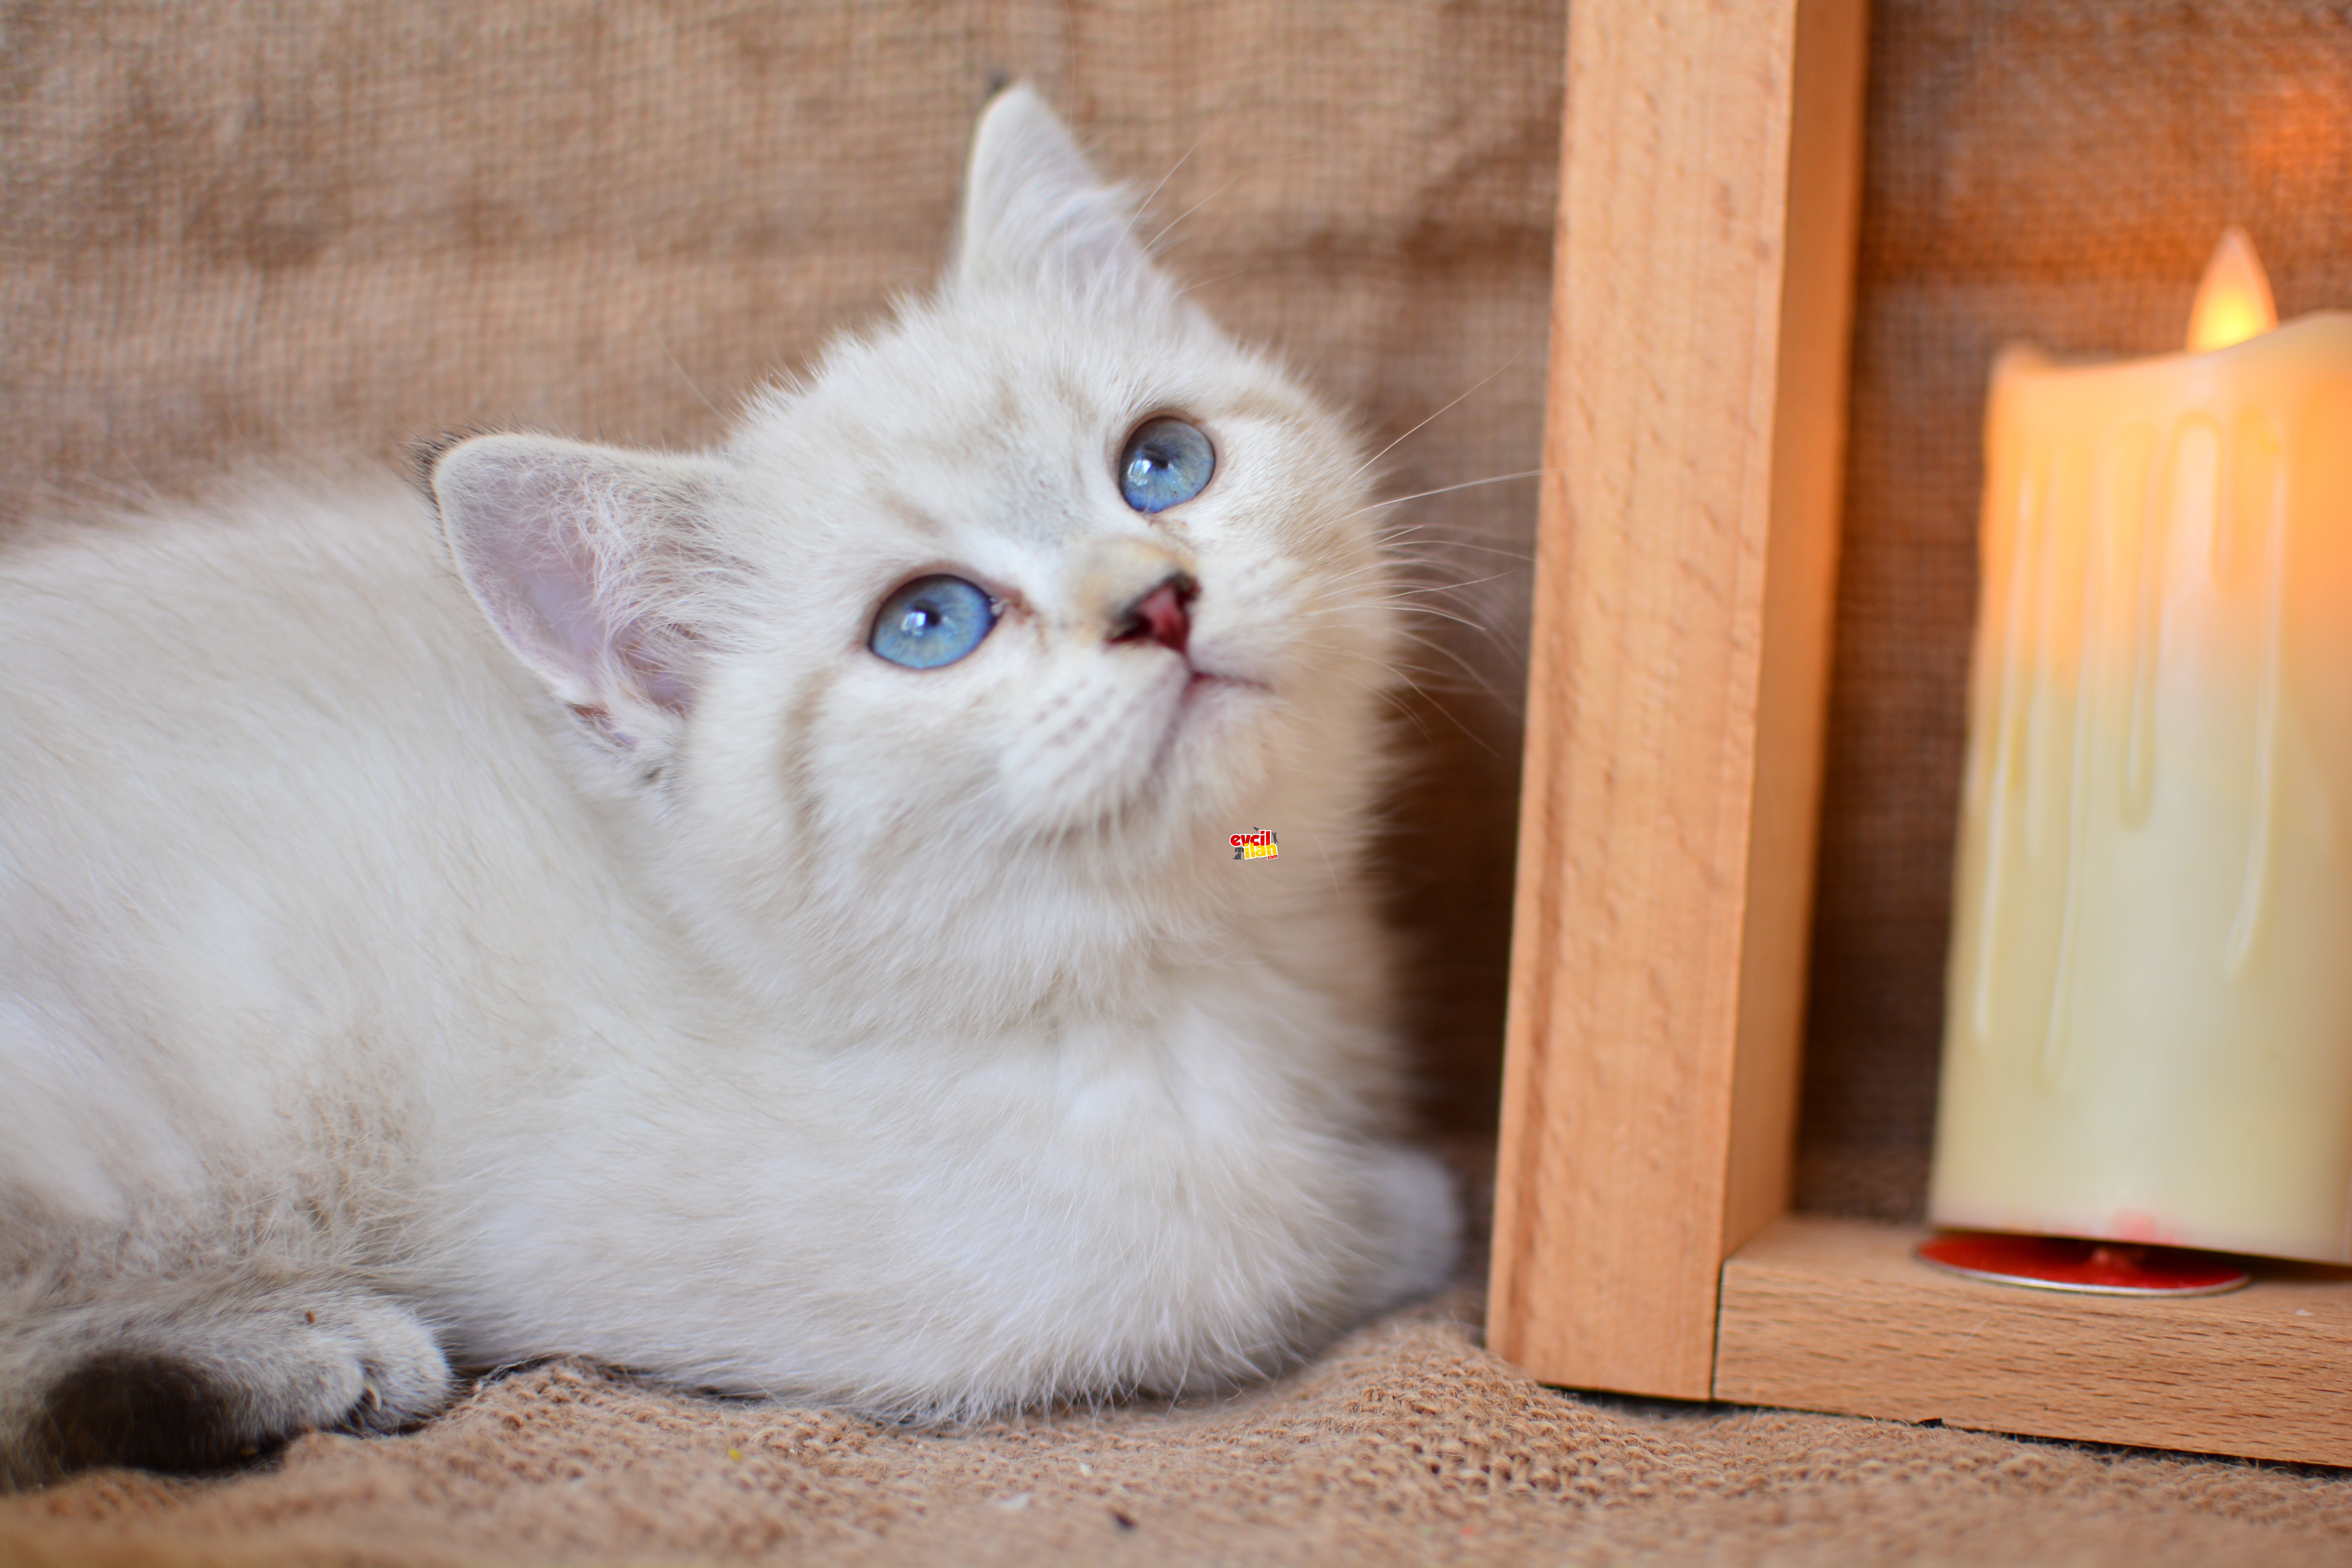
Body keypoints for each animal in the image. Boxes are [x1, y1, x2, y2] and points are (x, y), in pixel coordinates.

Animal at [0, 85, 1449, 1486]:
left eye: (1163, 464)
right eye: (931, 625)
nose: (1157, 601)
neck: (1206, 963)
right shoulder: (745, 1251)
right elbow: (1249, 1254)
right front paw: (1419, 1209)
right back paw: (300, 1356)